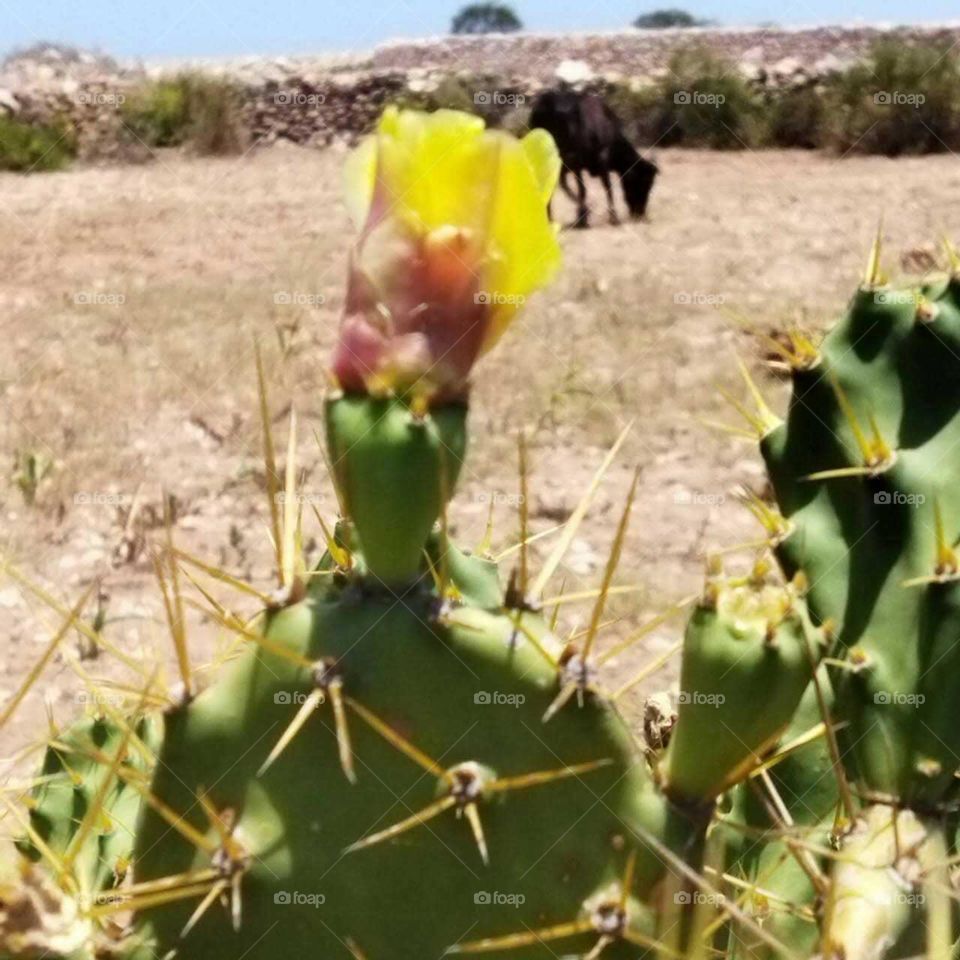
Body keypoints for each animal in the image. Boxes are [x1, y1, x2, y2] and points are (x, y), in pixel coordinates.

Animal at [528, 90, 656, 229]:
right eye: (644, 183)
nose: (640, 213)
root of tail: (545, 104)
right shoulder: (601, 157)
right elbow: (606, 186)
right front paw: (613, 217)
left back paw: (551, 218)